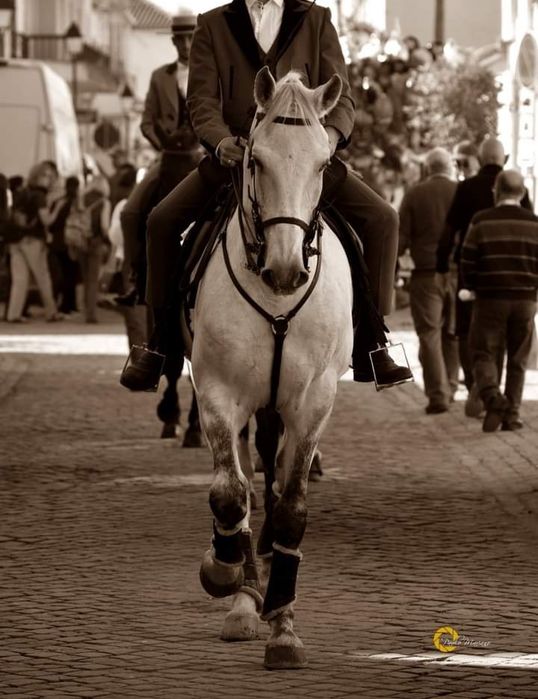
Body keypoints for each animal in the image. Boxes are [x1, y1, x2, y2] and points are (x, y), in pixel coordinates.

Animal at [190, 68, 353, 669]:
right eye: (254, 160)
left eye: (323, 163)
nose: (285, 270)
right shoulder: (217, 392)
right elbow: (230, 494)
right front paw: (226, 576)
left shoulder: (312, 403)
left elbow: (291, 508)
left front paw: (284, 626)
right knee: (245, 482)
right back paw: (242, 593)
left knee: (273, 475)